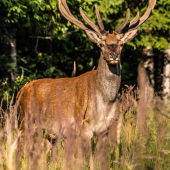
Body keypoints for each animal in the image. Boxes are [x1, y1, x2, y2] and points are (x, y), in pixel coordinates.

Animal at [16, 0, 157, 160]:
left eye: (121, 43)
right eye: (101, 44)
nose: (114, 55)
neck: (105, 102)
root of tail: (21, 90)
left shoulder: (105, 129)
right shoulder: (84, 127)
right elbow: (87, 158)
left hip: (48, 133)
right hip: (25, 122)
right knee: (20, 150)